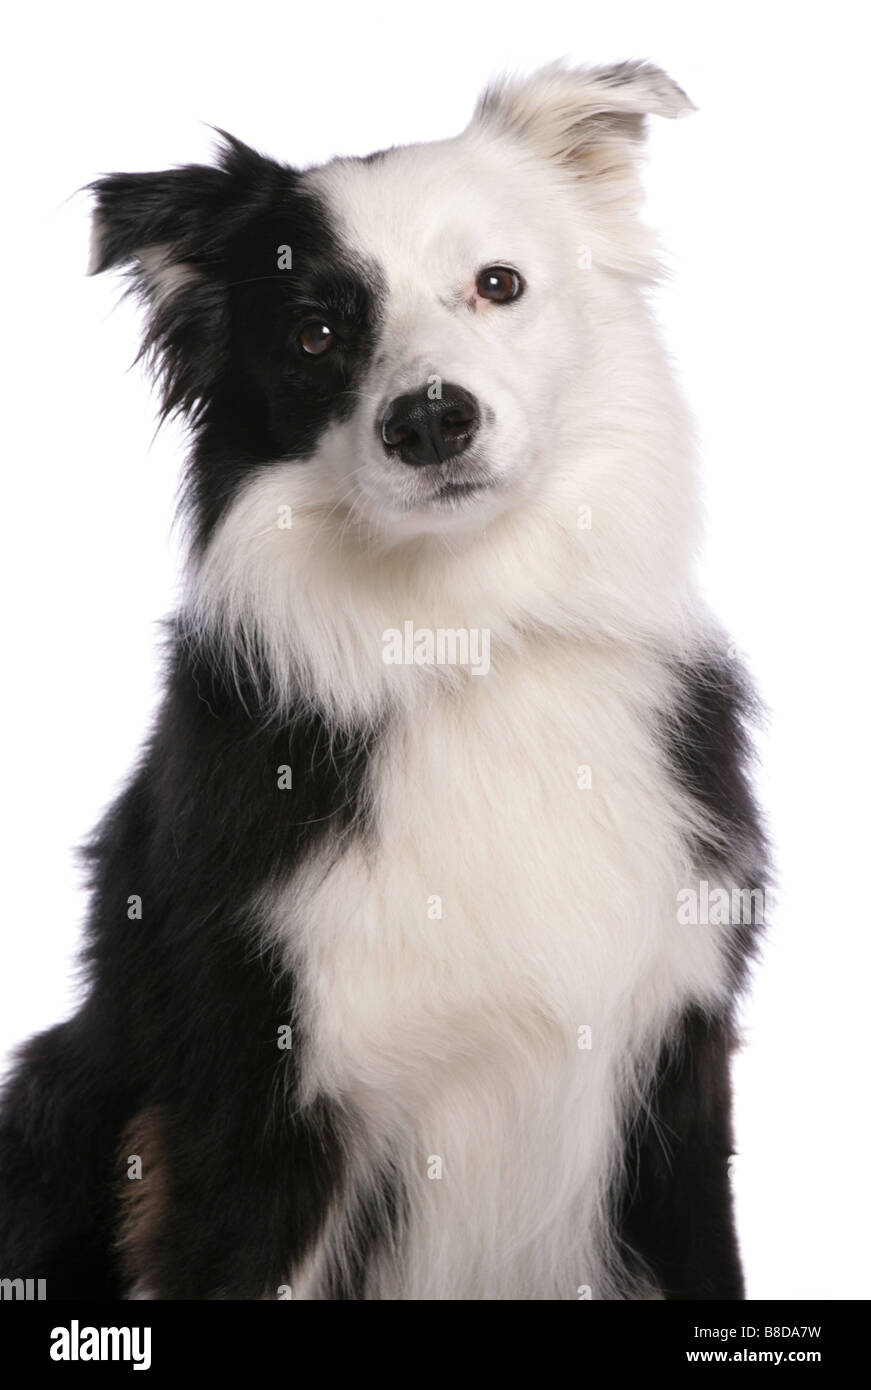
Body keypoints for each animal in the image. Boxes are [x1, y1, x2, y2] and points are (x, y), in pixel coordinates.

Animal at [0, 62, 766, 1301]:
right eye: (315, 334)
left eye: (497, 284)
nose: (430, 419)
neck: (465, 632)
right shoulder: (255, 1104)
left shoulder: (675, 1069)